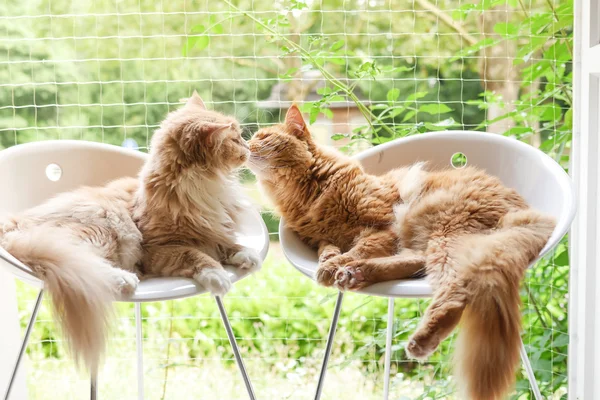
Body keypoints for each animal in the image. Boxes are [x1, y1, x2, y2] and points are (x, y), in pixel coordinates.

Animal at [247, 104, 552, 398]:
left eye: (263, 137)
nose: (245, 144)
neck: (307, 193)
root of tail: (522, 211)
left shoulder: (382, 227)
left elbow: (358, 248)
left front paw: (334, 265)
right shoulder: (324, 237)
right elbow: (328, 249)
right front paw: (330, 264)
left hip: (441, 231)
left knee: (455, 290)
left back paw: (420, 336)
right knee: (418, 263)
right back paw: (356, 275)